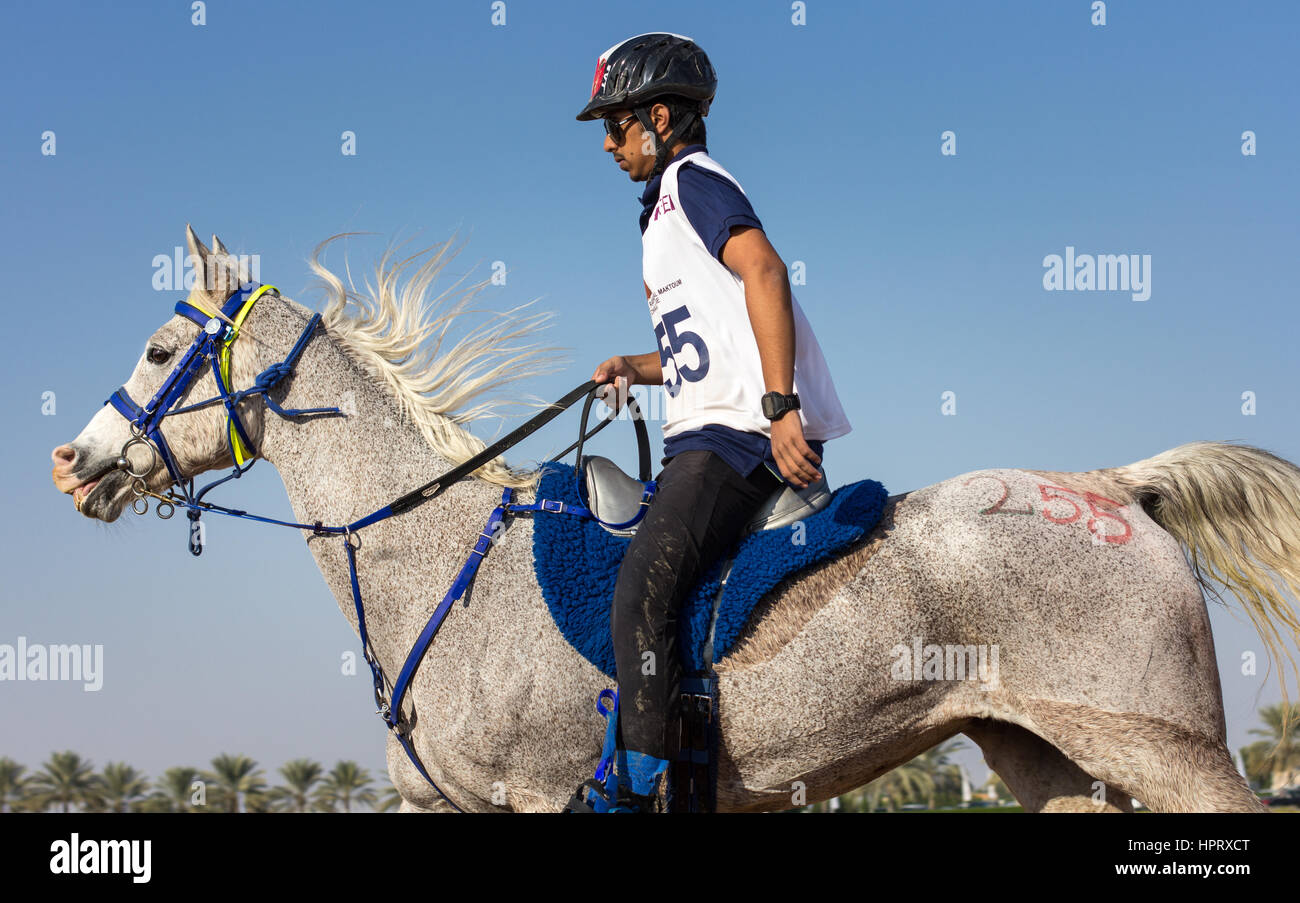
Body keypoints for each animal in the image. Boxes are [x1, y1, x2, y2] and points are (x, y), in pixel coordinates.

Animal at [50, 224, 1300, 810]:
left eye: (159, 351)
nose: (74, 463)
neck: (435, 558)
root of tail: (1108, 485)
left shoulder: (539, 796)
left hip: (1161, 749)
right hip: (1043, 757)